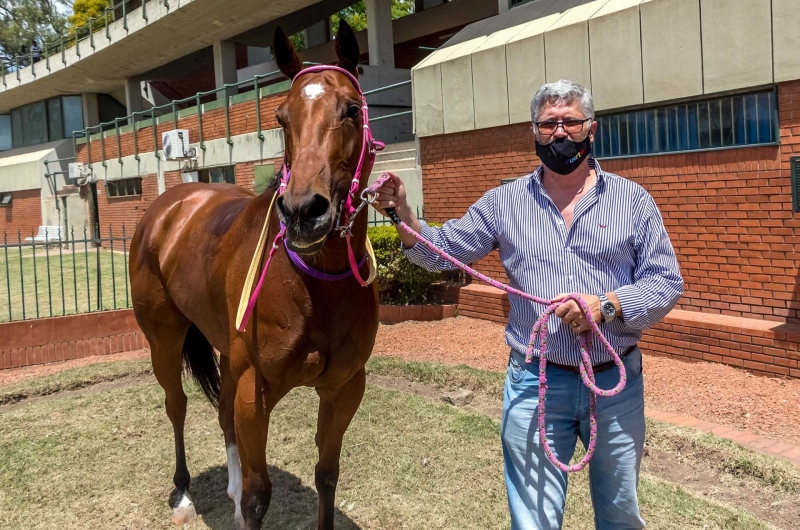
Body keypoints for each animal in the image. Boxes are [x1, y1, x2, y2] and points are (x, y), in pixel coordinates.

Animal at [130, 18, 380, 524]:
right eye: (281, 117)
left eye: (350, 110)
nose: (303, 212)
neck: (315, 285)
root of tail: (168, 206)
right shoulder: (255, 391)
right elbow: (258, 494)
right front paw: (242, 500)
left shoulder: (344, 388)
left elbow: (327, 476)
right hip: (163, 337)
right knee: (177, 405)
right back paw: (182, 492)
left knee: (221, 413)